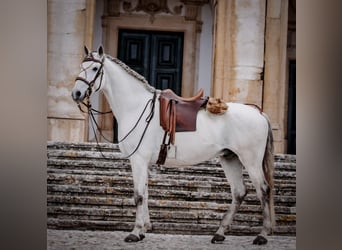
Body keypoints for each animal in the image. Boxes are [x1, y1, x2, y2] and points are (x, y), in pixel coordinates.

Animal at [71, 46, 276, 245]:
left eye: (95, 68)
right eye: (81, 67)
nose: (76, 94)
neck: (136, 107)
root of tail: (258, 113)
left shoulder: (138, 160)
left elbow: (138, 195)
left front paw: (135, 232)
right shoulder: (143, 162)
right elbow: (145, 193)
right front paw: (144, 230)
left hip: (250, 161)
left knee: (263, 190)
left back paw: (262, 235)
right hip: (230, 158)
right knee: (239, 192)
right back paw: (219, 233)